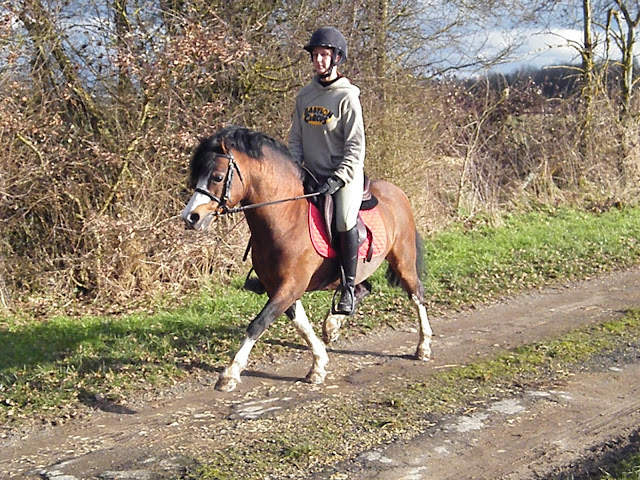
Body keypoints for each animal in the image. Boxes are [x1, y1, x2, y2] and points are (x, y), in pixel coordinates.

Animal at [180, 125, 436, 392]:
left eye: (217, 177)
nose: (191, 217)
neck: (285, 218)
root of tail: (396, 192)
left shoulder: (290, 286)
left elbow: (258, 324)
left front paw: (230, 374)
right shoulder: (279, 287)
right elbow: (301, 324)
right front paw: (319, 364)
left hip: (403, 260)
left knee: (416, 294)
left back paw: (423, 346)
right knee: (362, 288)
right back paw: (333, 324)